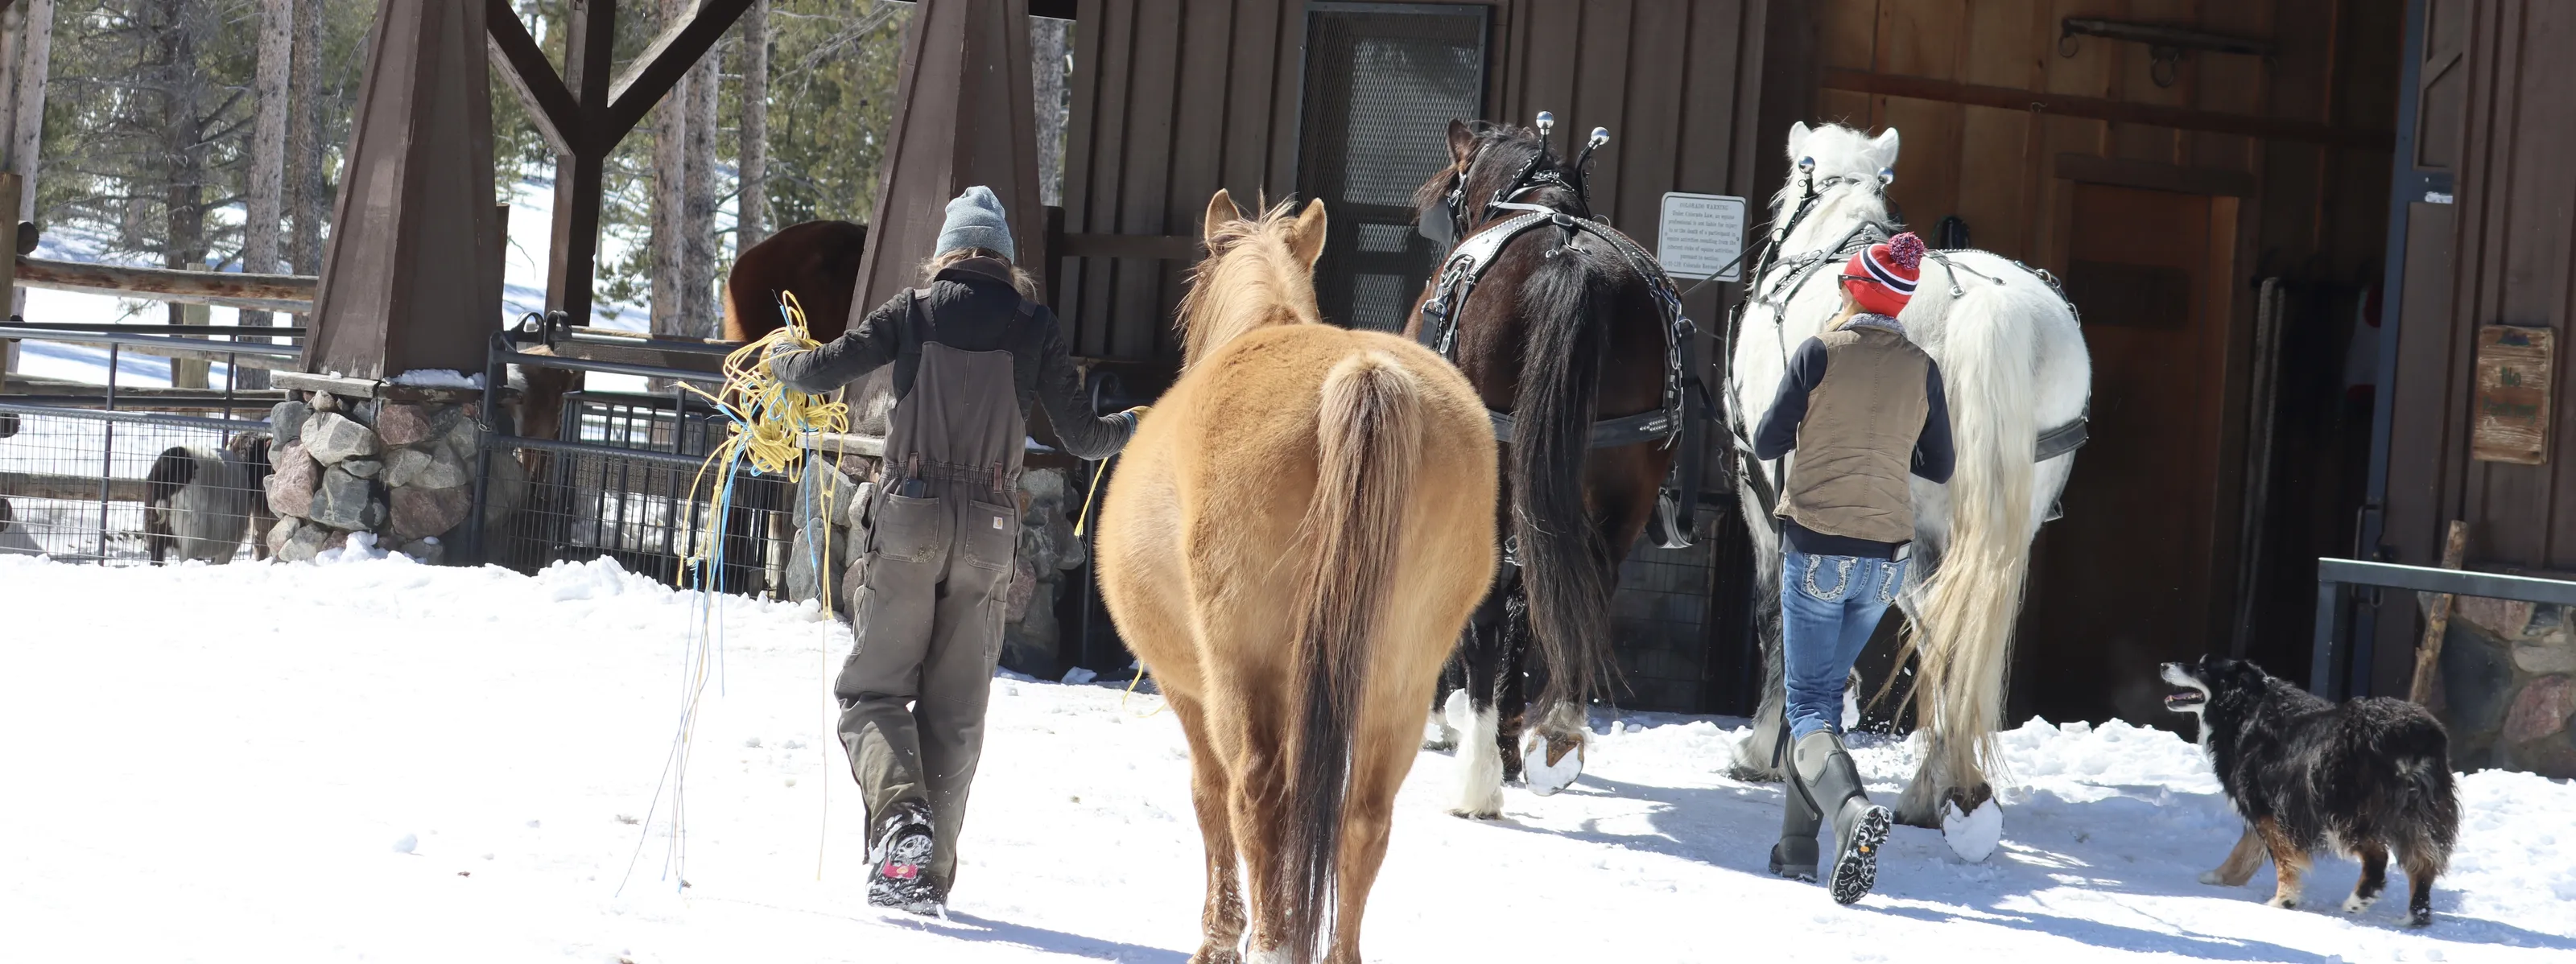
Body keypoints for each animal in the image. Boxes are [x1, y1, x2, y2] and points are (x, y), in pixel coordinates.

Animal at [1095, 191, 1497, 964]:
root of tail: (1365, 372)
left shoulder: (1189, 689)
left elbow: (1209, 797)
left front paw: (1218, 939)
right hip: (1398, 683)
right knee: (1363, 818)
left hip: (1244, 673)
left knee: (1256, 796)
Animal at [1405, 117, 1687, 817]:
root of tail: (1569, 258)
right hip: (1622, 481)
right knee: (1579, 589)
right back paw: (1554, 735)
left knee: (1487, 603)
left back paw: (1478, 775)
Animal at [1723, 122, 2092, 839]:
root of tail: (1991, 305)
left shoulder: (1764, 494)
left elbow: (1774, 619)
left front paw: (1763, 751)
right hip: (2006, 524)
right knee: (1970, 637)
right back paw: (1958, 784)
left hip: (1914, 532)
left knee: (1939, 633)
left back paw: (1929, 790)